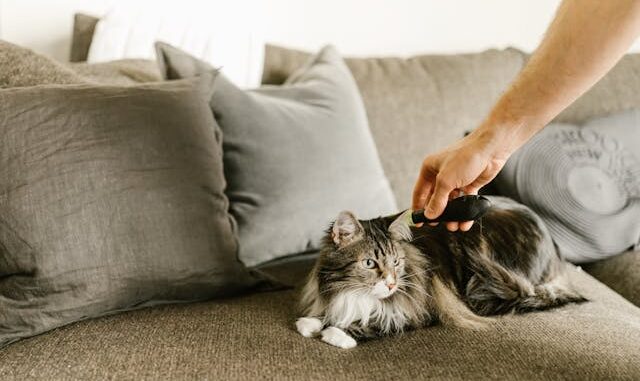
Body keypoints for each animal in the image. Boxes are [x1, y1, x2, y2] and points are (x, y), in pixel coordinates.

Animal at [296, 196, 584, 348]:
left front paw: (337, 333)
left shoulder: (422, 308)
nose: (391, 284)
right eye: (369, 263)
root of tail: (556, 249)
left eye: (396, 262)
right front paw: (311, 323)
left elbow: (379, 321)